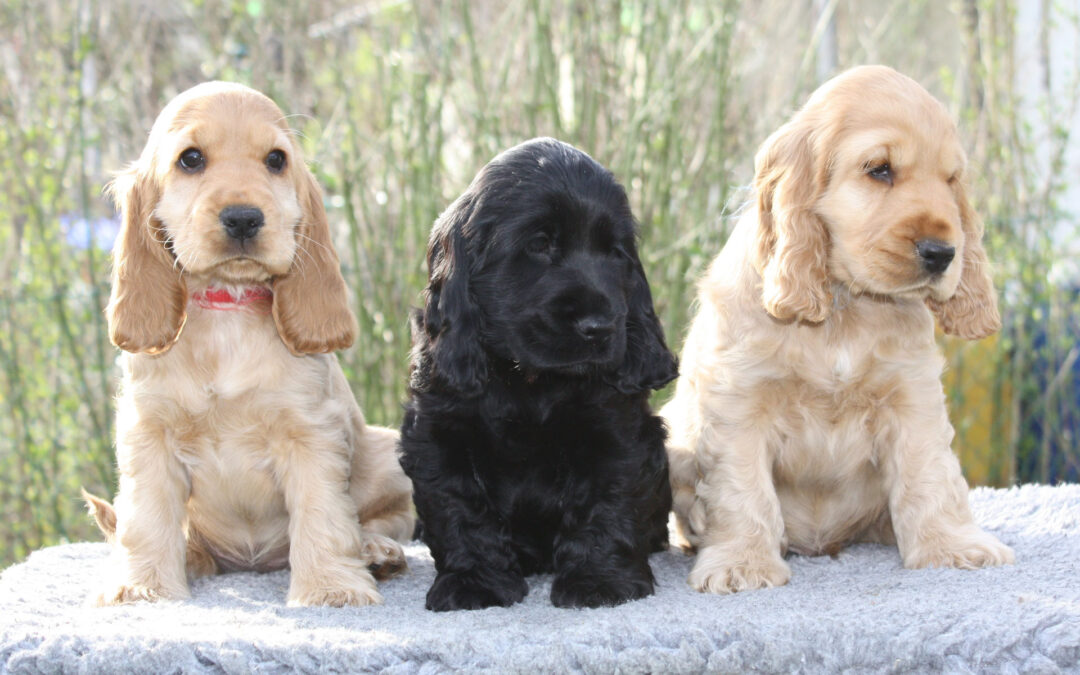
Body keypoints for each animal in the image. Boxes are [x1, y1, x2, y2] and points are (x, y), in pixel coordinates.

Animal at [88, 81, 412, 609]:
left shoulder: (310, 431)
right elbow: (146, 518)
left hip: (386, 454)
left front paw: (331, 588)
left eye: (276, 160)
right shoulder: (149, 430)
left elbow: (323, 512)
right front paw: (143, 586)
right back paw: (192, 556)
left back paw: (376, 551)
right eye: (191, 159)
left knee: (385, 517)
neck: (229, 306)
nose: (243, 218)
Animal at [401, 137, 678, 609]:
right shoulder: (440, 431)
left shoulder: (617, 428)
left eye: (615, 253)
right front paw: (474, 582)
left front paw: (600, 581)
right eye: (540, 244)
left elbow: (607, 500)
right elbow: (460, 506)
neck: (528, 381)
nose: (600, 327)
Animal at [660, 67, 1015, 596]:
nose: (942, 253)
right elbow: (742, 488)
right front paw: (742, 563)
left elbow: (928, 473)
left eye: (951, 180)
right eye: (880, 169)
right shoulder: (739, 403)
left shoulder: (912, 397)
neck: (845, 307)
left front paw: (951, 546)